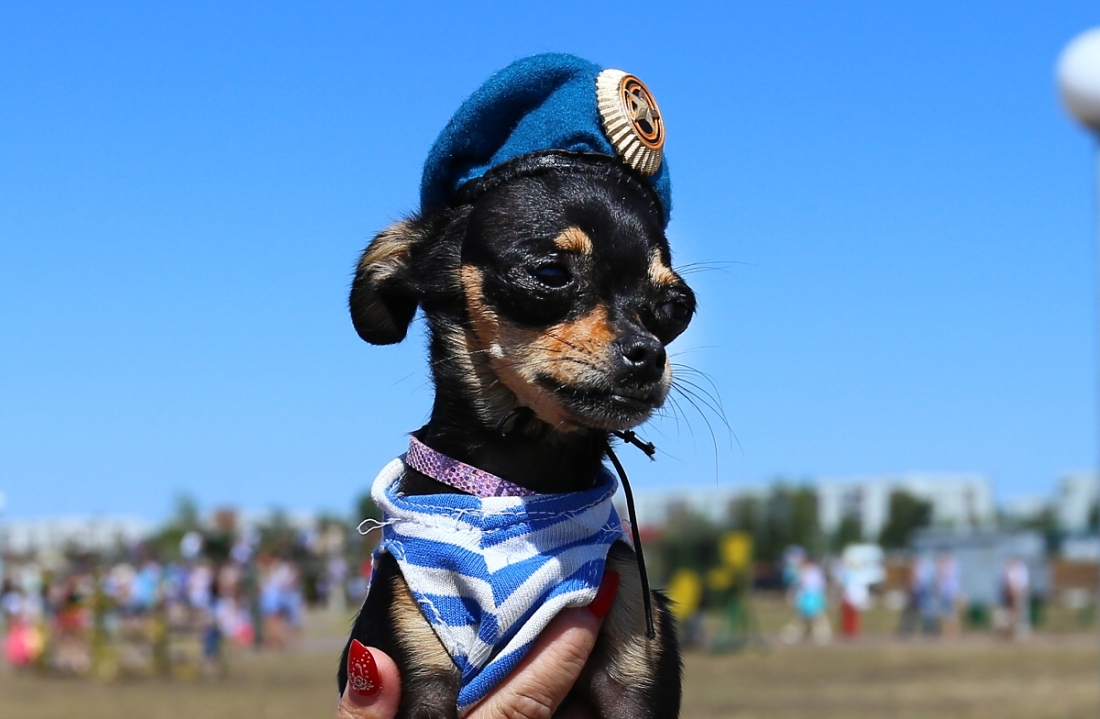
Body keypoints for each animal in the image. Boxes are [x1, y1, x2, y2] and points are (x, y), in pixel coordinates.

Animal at [338, 54, 690, 719]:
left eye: (676, 306)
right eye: (551, 274)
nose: (649, 354)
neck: (518, 481)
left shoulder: (633, 667)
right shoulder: (417, 668)